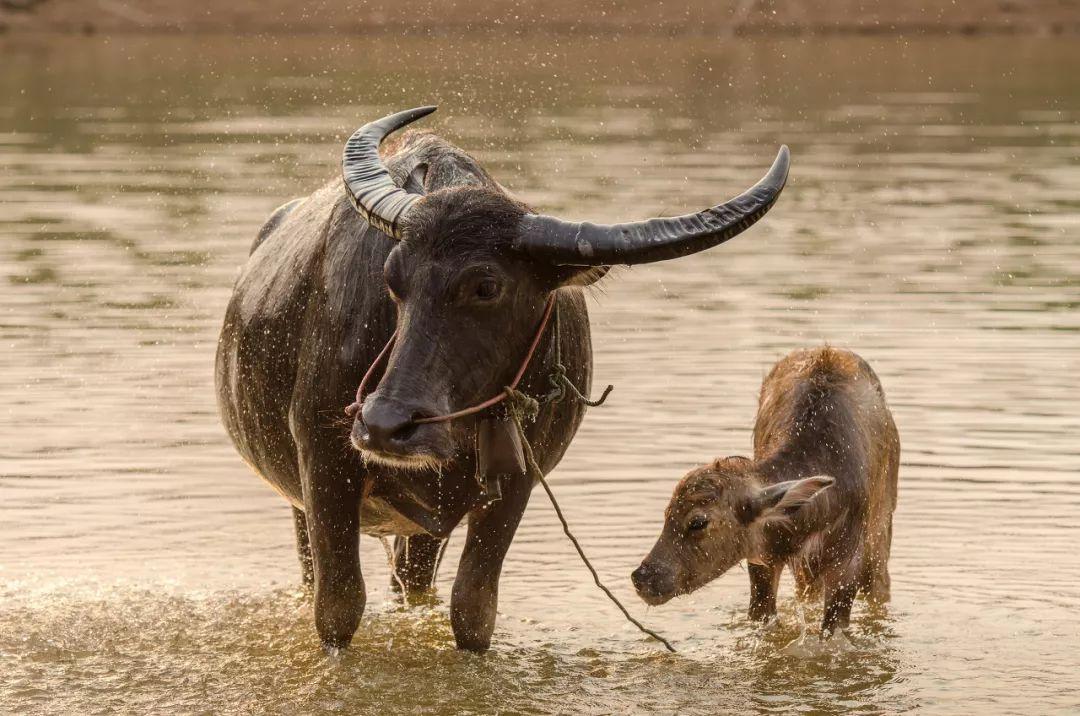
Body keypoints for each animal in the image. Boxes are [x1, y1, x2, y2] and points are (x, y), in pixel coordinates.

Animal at [214, 105, 790, 647]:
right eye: (392, 277)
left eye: (486, 286)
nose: (384, 426)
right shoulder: (323, 461)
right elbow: (337, 606)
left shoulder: (516, 481)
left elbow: (473, 609)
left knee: (411, 579)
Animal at [630, 347, 898, 635]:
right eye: (667, 514)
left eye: (698, 522)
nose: (642, 577)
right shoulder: (763, 561)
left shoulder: (846, 567)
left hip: (880, 542)